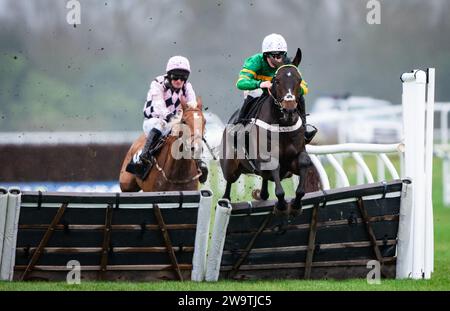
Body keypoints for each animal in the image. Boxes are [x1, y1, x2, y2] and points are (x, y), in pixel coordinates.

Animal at [221, 49, 320, 214]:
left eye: (299, 80)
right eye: (277, 80)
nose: (289, 109)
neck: (283, 127)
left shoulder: (293, 161)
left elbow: (304, 163)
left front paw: (296, 205)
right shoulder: (265, 159)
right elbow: (276, 176)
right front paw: (281, 206)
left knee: (264, 190)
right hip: (230, 167)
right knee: (228, 185)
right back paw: (225, 202)